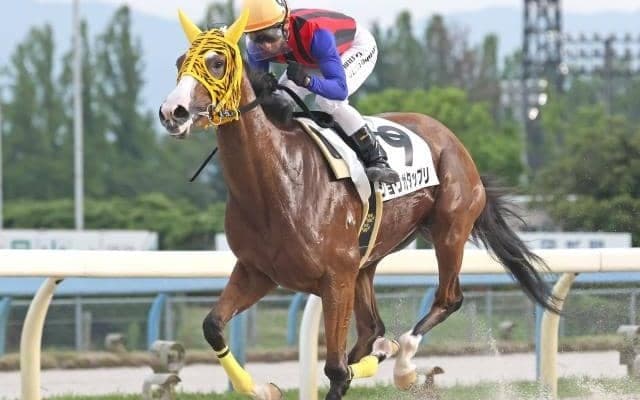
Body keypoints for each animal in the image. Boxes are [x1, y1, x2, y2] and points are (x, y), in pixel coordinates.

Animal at [158, 10, 557, 400]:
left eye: (216, 62)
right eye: (179, 62)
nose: (172, 112)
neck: (276, 183)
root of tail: (452, 140)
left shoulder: (335, 278)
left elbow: (336, 370)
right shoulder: (258, 271)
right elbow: (213, 325)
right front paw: (259, 387)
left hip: (449, 231)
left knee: (447, 300)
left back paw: (404, 364)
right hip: (368, 260)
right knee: (372, 331)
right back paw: (383, 351)